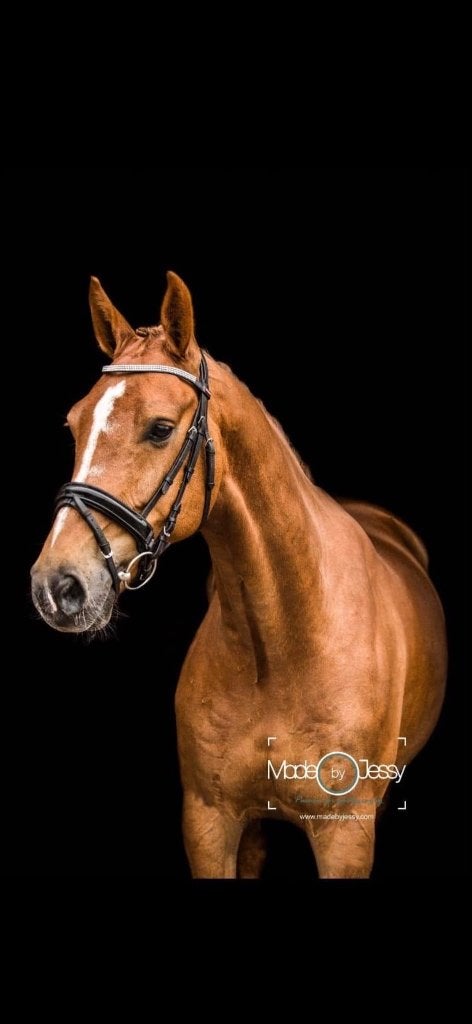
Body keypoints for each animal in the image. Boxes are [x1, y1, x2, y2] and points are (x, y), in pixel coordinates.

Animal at [31, 271, 447, 878]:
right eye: (73, 424)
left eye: (160, 429)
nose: (56, 586)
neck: (281, 647)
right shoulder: (210, 823)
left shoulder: (345, 834)